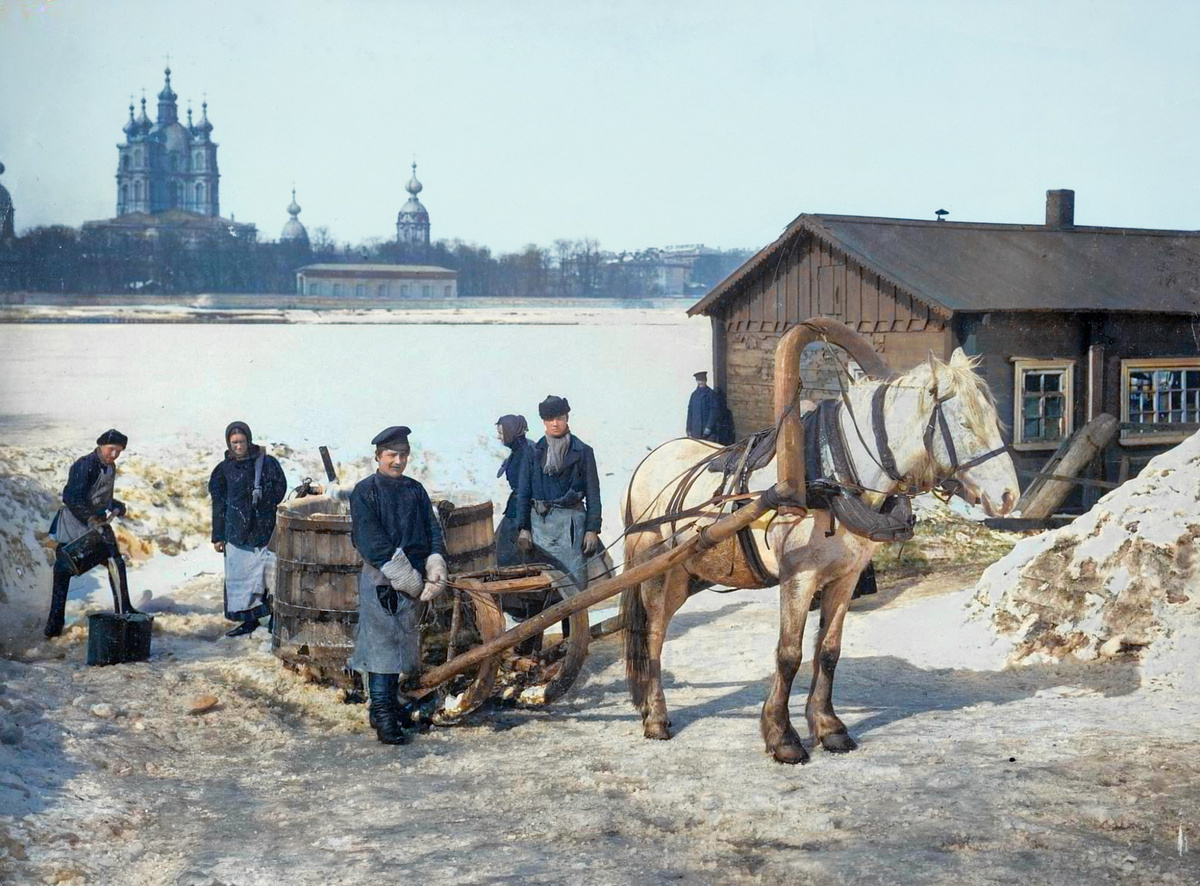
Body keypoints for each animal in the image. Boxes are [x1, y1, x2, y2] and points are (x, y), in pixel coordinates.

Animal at [619, 348, 1022, 763]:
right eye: (963, 423)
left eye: (993, 419)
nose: (1009, 496)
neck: (831, 481)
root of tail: (647, 463)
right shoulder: (799, 577)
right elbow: (789, 654)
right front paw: (782, 736)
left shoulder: (846, 577)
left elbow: (828, 651)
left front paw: (829, 727)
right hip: (653, 569)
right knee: (652, 635)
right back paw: (656, 717)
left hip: (684, 575)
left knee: (657, 631)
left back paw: (648, 706)